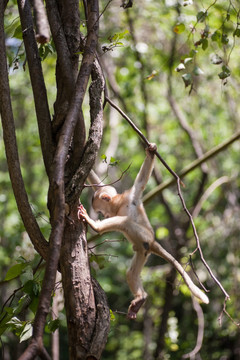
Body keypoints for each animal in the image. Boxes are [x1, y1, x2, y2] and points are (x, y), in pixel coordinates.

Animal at [78, 142, 208, 320]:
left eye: (100, 211)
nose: (104, 216)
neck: (120, 204)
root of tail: (152, 242)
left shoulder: (131, 197)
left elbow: (141, 182)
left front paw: (151, 151)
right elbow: (98, 182)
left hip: (143, 237)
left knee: (125, 222)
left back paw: (96, 226)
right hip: (142, 252)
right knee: (131, 273)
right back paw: (141, 299)